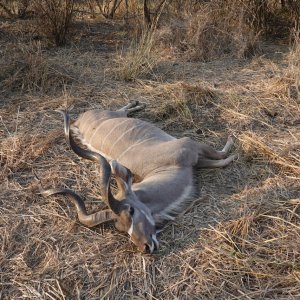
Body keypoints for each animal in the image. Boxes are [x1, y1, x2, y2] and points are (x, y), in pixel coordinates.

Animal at [37, 101, 236, 253]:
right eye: (121, 228)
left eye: (131, 211)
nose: (145, 247)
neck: (161, 167)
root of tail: (80, 119)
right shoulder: (195, 160)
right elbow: (220, 161)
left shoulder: (192, 146)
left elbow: (221, 156)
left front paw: (232, 142)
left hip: (113, 113)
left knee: (121, 110)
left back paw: (136, 104)